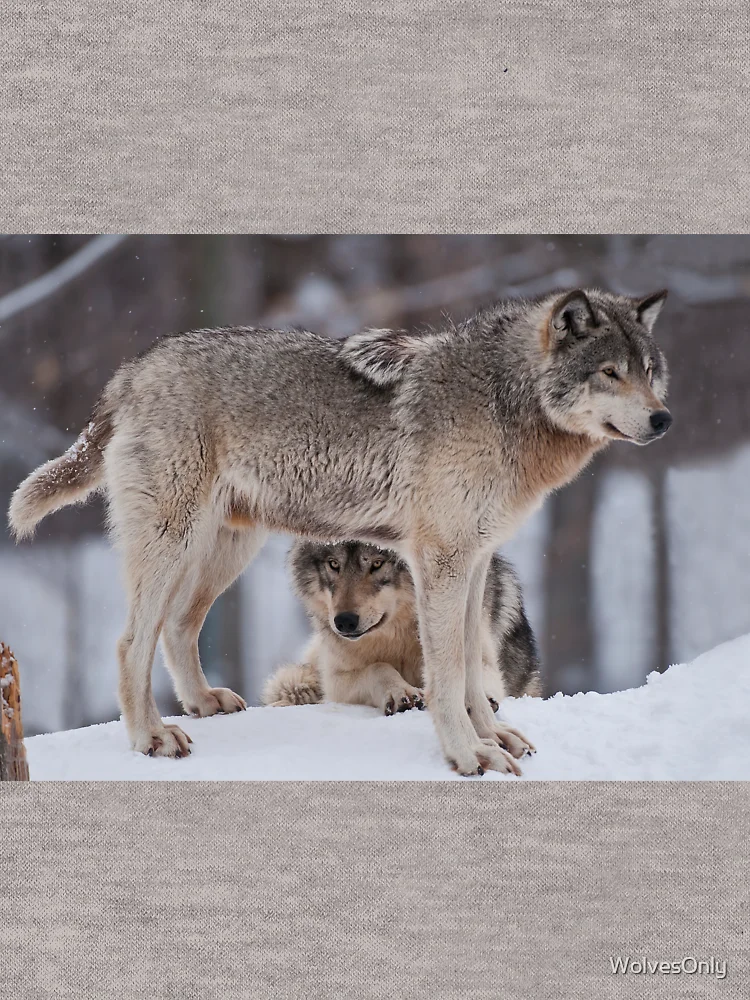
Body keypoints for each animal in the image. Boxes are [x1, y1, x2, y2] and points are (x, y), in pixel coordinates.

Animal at [263, 542, 541, 751]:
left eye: (377, 563)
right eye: (333, 564)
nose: (344, 621)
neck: (397, 635)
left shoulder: (480, 655)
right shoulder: (336, 680)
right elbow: (378, 667)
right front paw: (400, 693)